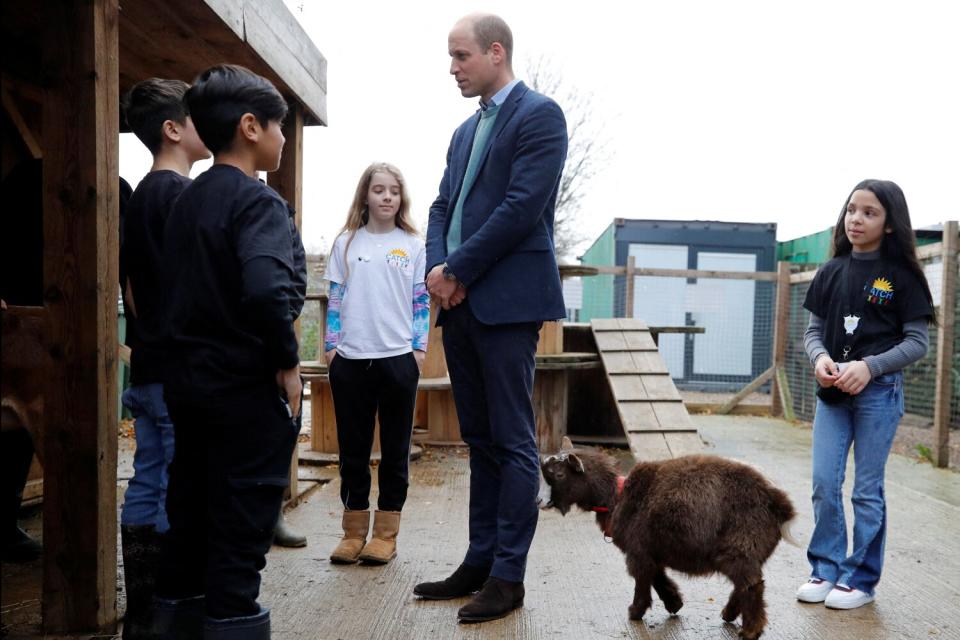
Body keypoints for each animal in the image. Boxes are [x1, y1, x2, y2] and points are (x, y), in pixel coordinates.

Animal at [540, 438, 796, 636]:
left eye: (559, 474)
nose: (539, 501)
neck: (616, 498)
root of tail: (779, 503)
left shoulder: (638, 551)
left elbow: (642, 579)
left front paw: (635, 612)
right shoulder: (651, 549)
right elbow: (657, 576)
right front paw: (674, 603)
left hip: (739, 548)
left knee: (751, 585)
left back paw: (750, 630)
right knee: (744, 584)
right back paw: (729, 614)